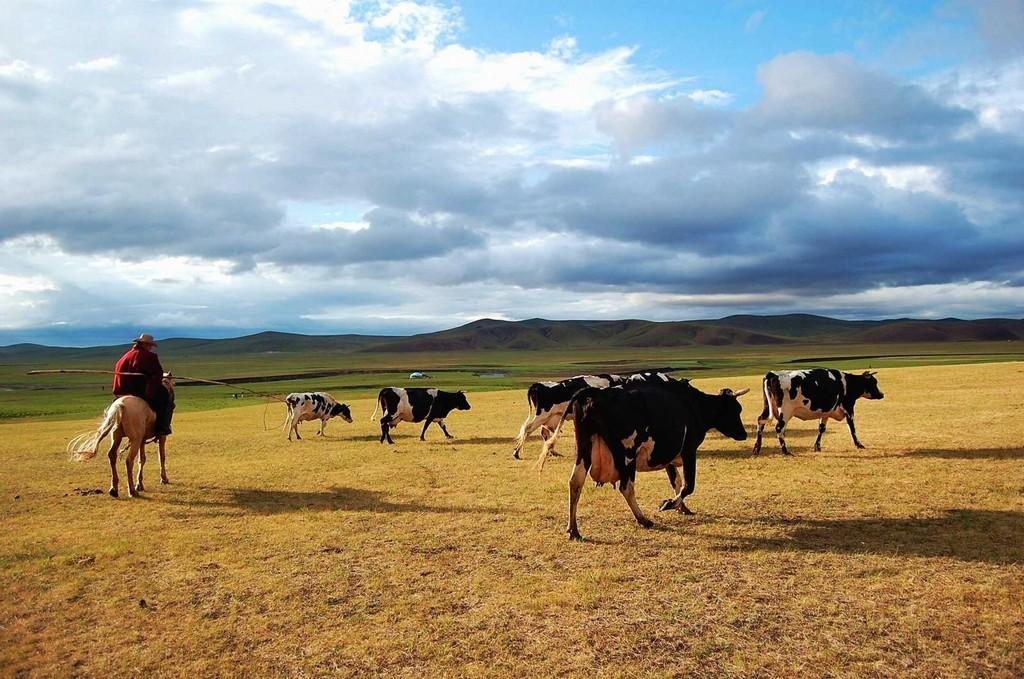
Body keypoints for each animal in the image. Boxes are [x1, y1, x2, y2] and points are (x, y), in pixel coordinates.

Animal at [507, 372, 675, 462]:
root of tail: (539, 385)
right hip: (542, 415)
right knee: (527, 429)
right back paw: (516, 453)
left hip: (549, 418)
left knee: (544, 433)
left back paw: (552, 452)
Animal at [536, 376, 753, 540]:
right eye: (736, 409)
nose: (743, 434)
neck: (694, 406)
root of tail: (595, 393)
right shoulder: (689, 450)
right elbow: (688, 485)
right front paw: (670, 504)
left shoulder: (668, 456)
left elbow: (676, 481)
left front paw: (681, 507)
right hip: (627, 455)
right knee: (626, 487)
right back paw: (643, 519)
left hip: (585, 450)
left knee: (575, 482)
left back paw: (573, 529)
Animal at [749, 368, 884, 454]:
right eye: (874, 382)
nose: (882, 394)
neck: (847, 383)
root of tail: (772, 374)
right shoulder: (849, 409)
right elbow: (852, 428)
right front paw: (859, 444)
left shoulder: (826, 412)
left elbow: (821, 429)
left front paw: (817, 447)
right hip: (785, 411)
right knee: (779, 428)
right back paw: (785, 451)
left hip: (768, 406)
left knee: (760, 421)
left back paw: (757, 448)